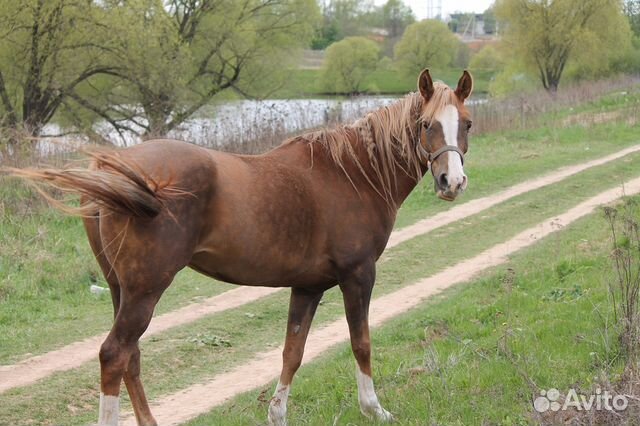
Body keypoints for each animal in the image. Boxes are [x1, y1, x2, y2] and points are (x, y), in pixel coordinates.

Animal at [7, 68, 472, 424]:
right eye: (427, 124)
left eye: (465, 123)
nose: (452, 182)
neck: (353, 173)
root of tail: (114, 170)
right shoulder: (358, 276)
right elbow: (361, 342)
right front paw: (374, 409)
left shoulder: (308, 287)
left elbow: (292, 352)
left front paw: (277, 414)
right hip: (145, 289)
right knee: (114, 354)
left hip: (121, 289)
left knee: (130, 358)